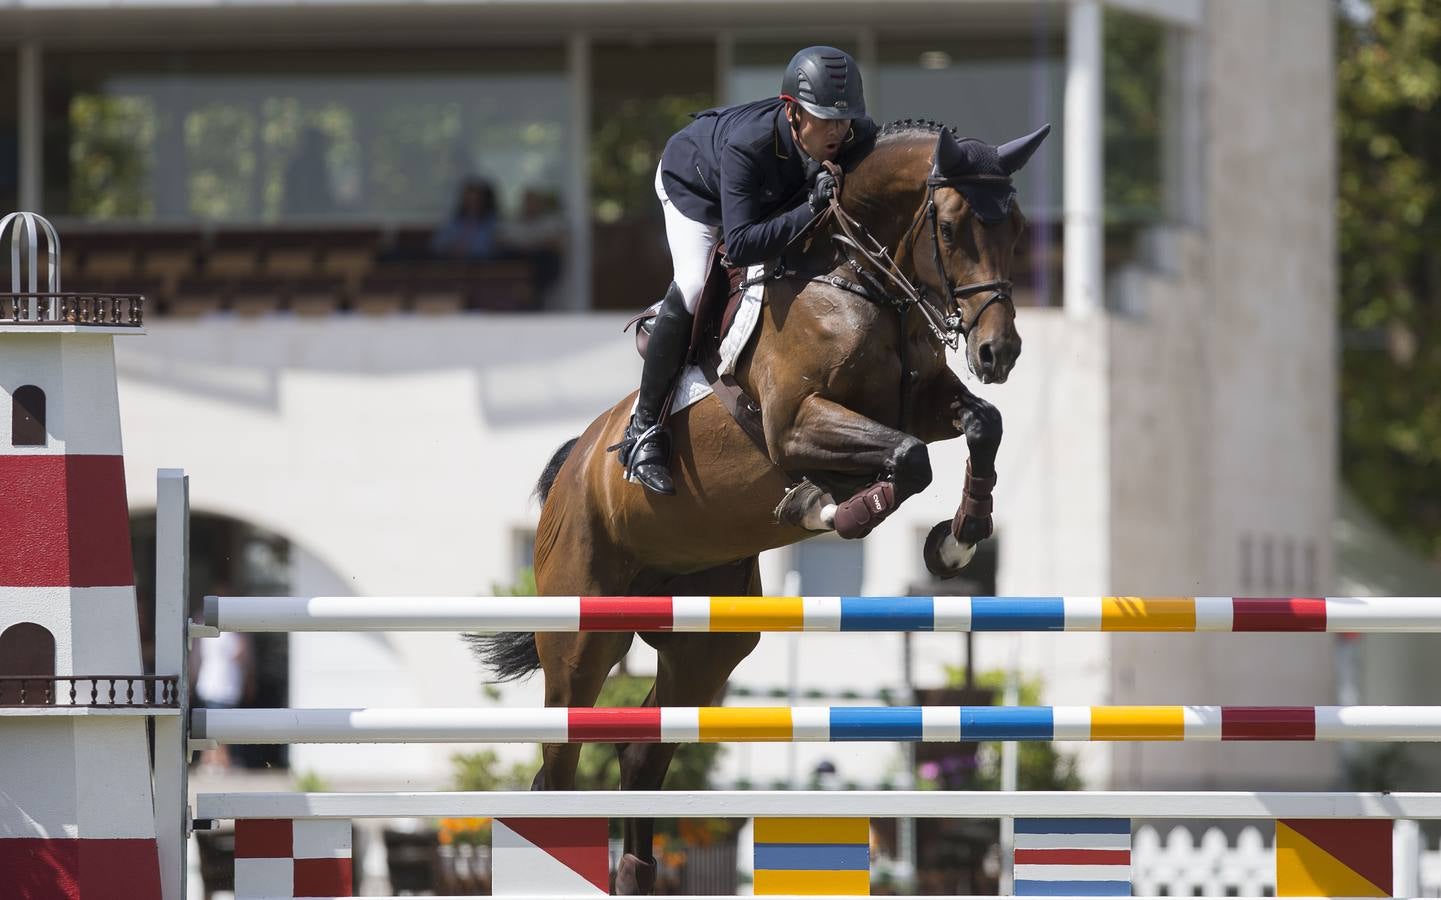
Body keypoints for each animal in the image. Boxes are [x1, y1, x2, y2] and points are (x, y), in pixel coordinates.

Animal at [472, 117, 1049, 892]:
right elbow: (907, 458)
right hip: (582, 635)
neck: (862, 283)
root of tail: (574, 469)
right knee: (559, 769)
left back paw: (637, 872)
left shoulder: (924, 401)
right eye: (953, 227)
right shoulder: (795, 422)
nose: (997, 351)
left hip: (706, 643)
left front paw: (957, 538)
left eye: (1014, 227)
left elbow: (981, 425)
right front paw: (829, 507)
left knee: (643, 752)